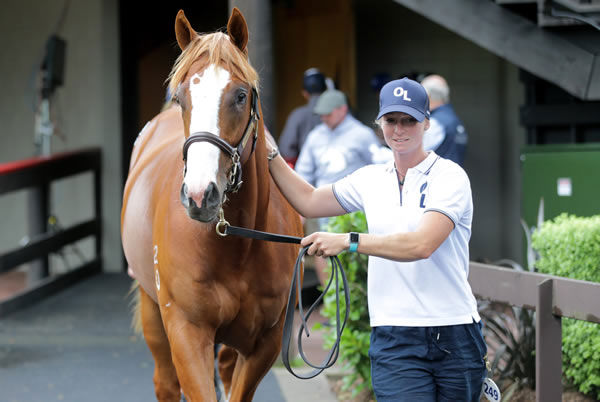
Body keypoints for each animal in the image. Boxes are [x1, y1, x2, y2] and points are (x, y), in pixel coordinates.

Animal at [120, 9, 304, 402]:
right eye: (182, 98)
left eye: (240, 95)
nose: (199, 194)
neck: (235, 246)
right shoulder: (187, 333)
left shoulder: (264, 344)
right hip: (152, 310)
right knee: (165, 383)